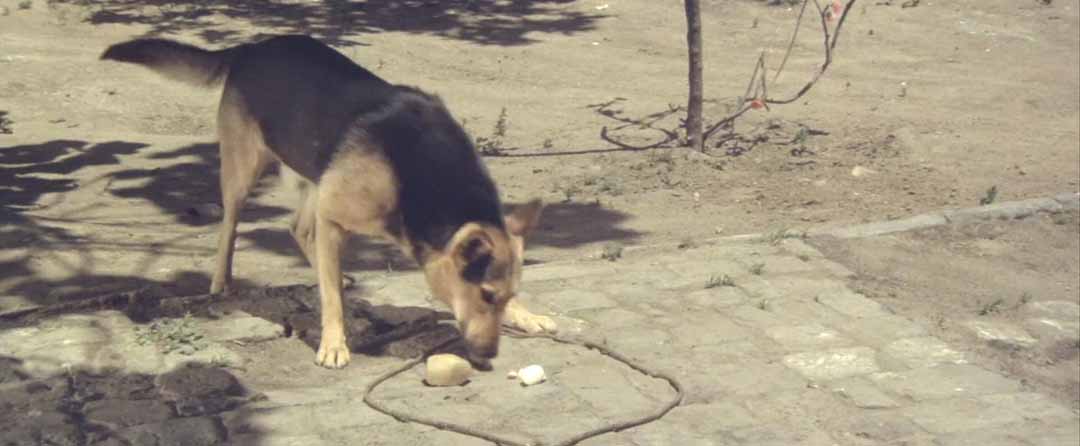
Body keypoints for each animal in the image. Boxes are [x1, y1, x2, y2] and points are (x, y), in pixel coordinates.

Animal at [103, 34, 557, 367]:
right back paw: (222, 282)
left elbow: (325, 271)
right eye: (485, 295)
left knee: (299, 230)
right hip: (243, 169)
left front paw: (525, 314)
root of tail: (251, 47)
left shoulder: (331, 209)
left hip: (314, 178)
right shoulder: (335, 216)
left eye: (505, 296)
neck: (423, 177)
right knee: (231, 225)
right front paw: (334, 343)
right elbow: (330, 299)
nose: (490, 355)